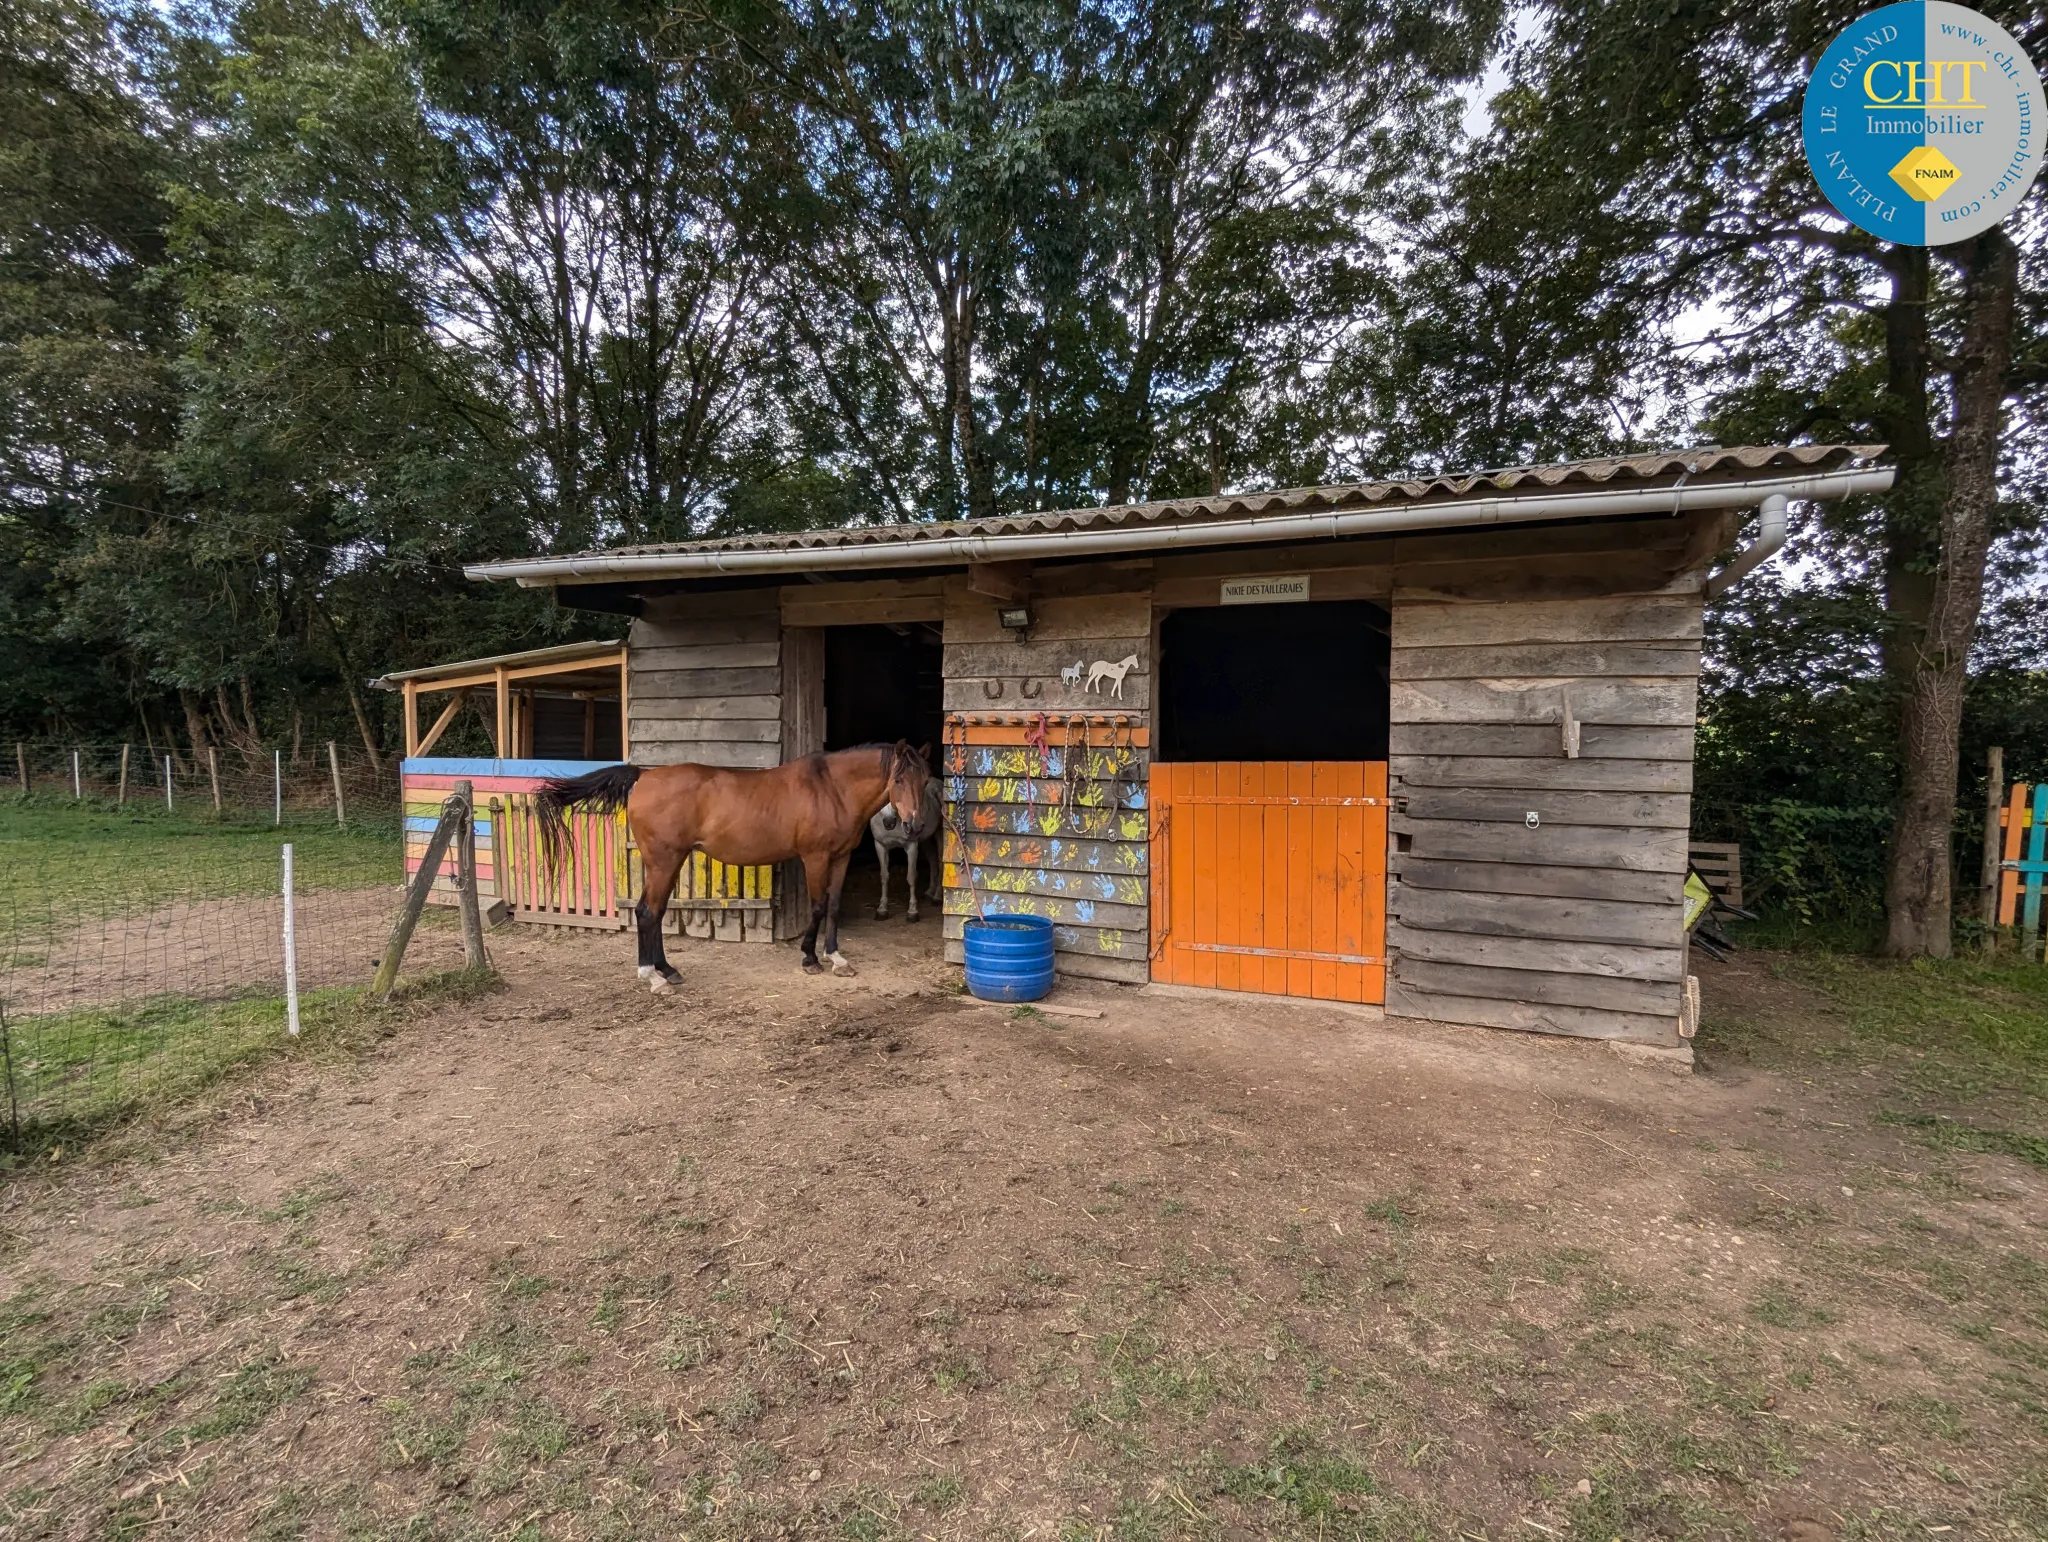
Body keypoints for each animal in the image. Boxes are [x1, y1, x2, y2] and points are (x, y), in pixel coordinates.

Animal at [536, 741, 937, 987]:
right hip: (663, 861)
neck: (831, 789)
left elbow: (835, 906)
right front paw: (810, 957)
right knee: (648, 912)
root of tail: (645, 776)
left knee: (654, 911)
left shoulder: (840, 858)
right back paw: (652, 977)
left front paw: (836, 957)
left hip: (669, 861)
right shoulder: (815, 858)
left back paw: (666, 970)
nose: (912, 825)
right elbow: (818, 906)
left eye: (925, 778)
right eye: (898, 778)